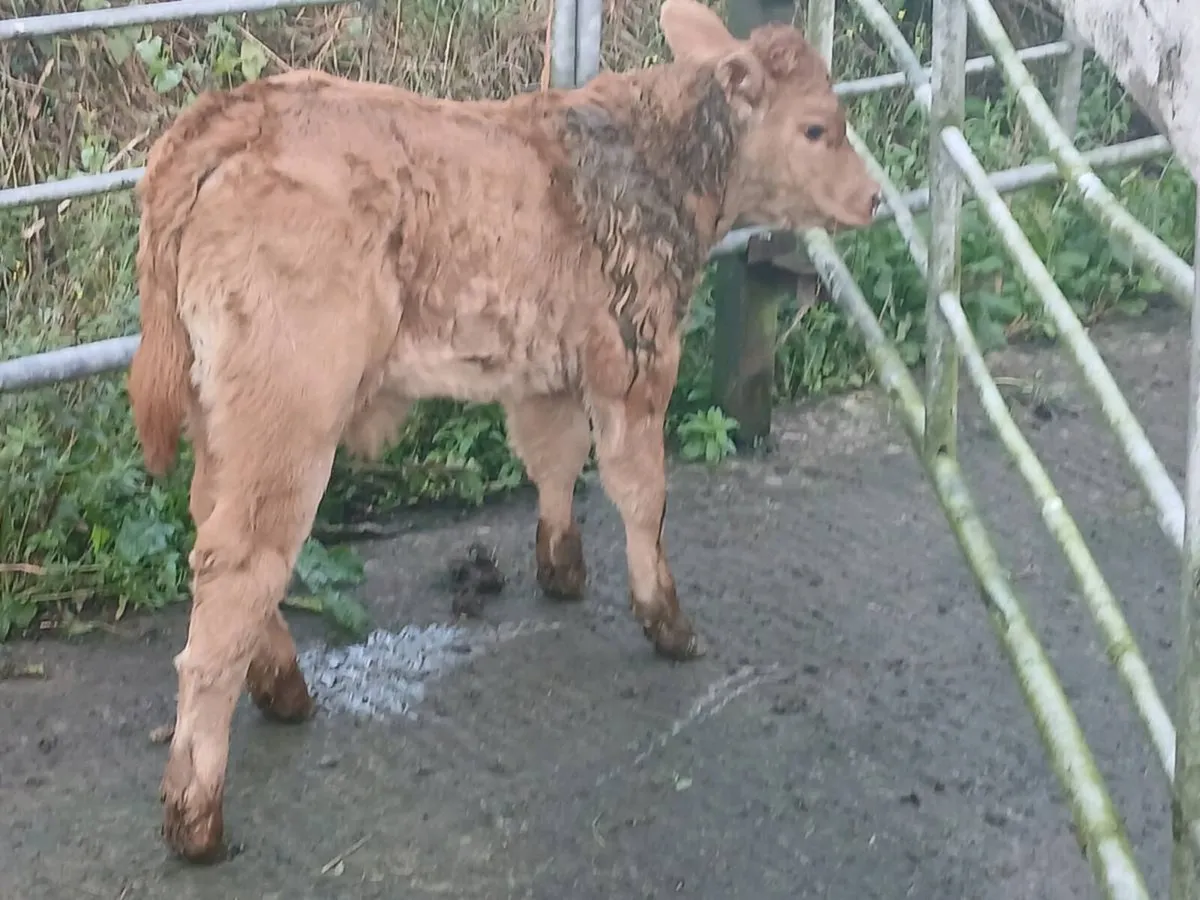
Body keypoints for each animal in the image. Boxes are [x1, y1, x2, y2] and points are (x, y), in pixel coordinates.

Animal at [126, 0, 881, 863]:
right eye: (819, 127)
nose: (873, 200)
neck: (654, 160)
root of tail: (234, 112)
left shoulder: (546, 368)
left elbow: (554, 458)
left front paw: (562, 567)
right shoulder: (637, 361)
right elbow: (641, 493)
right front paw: (667, 621)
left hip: (219, 408)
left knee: (213, 531)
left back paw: (282, 686)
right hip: (288, 407)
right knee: (240, 569)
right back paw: (198, 814)